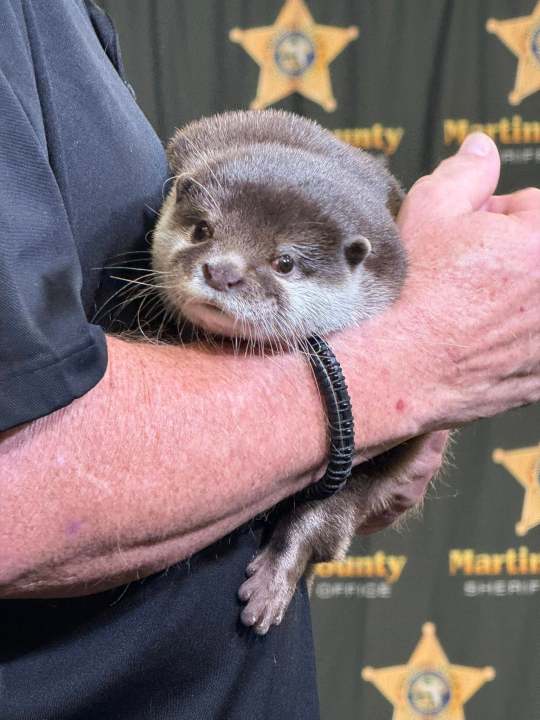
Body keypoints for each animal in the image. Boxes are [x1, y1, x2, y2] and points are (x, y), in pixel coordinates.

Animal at [151, 110, 429, 635]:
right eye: (202, 230)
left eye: (284, 261)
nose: (222, 272)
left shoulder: (402, 447)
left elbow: (333, 507)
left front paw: (275, 577)